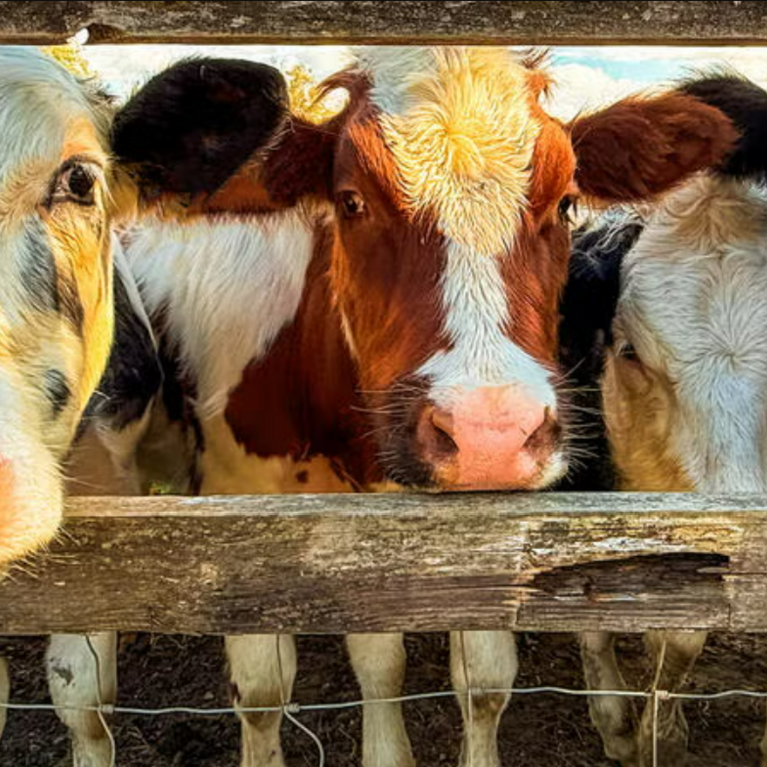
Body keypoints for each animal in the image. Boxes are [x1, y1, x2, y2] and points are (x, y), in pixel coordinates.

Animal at [123, 47, 739, 767]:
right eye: (350, 200)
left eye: (564, 203)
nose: (488, 434)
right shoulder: (234, 505)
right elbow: (266, 689)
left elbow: (477, 677)